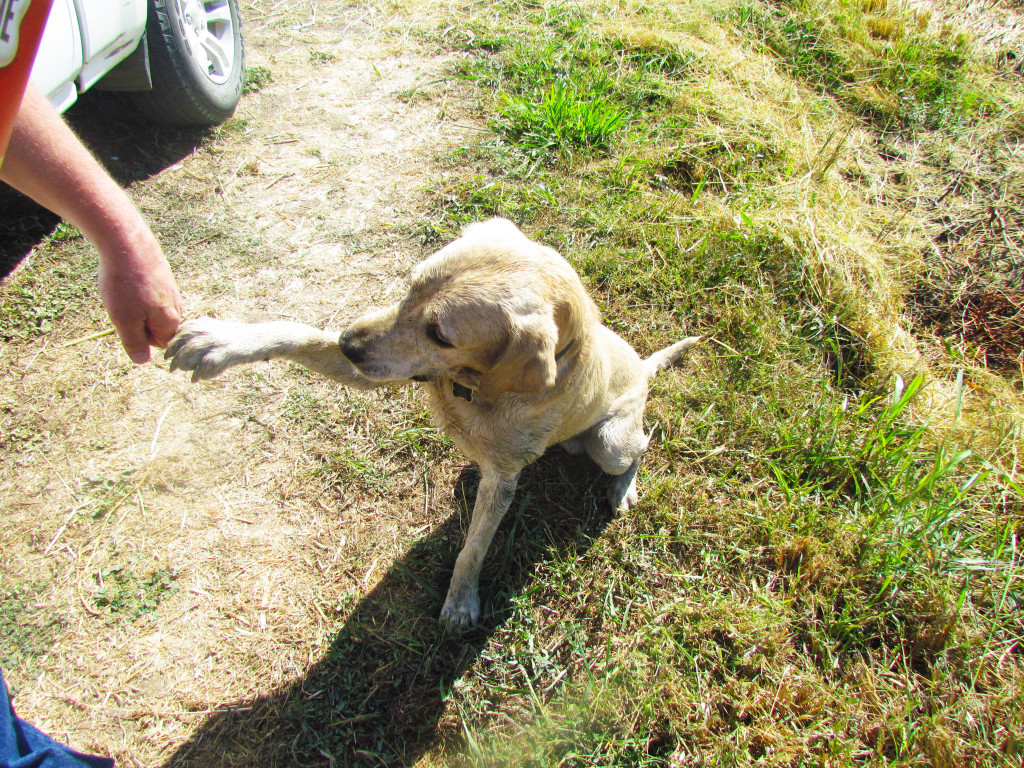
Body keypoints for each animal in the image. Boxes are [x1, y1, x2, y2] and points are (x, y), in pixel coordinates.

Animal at [163, 218, 700, 630]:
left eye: (440, 333)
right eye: (410, 285)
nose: (349, 344)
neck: (474, 388)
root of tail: (644, 367)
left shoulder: (503, 480)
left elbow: (473, 548)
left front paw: (461, 601)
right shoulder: (377, 367)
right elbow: (294, 332)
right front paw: (221, 340)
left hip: (611, 441)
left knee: (642, 444)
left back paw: (623, 487)